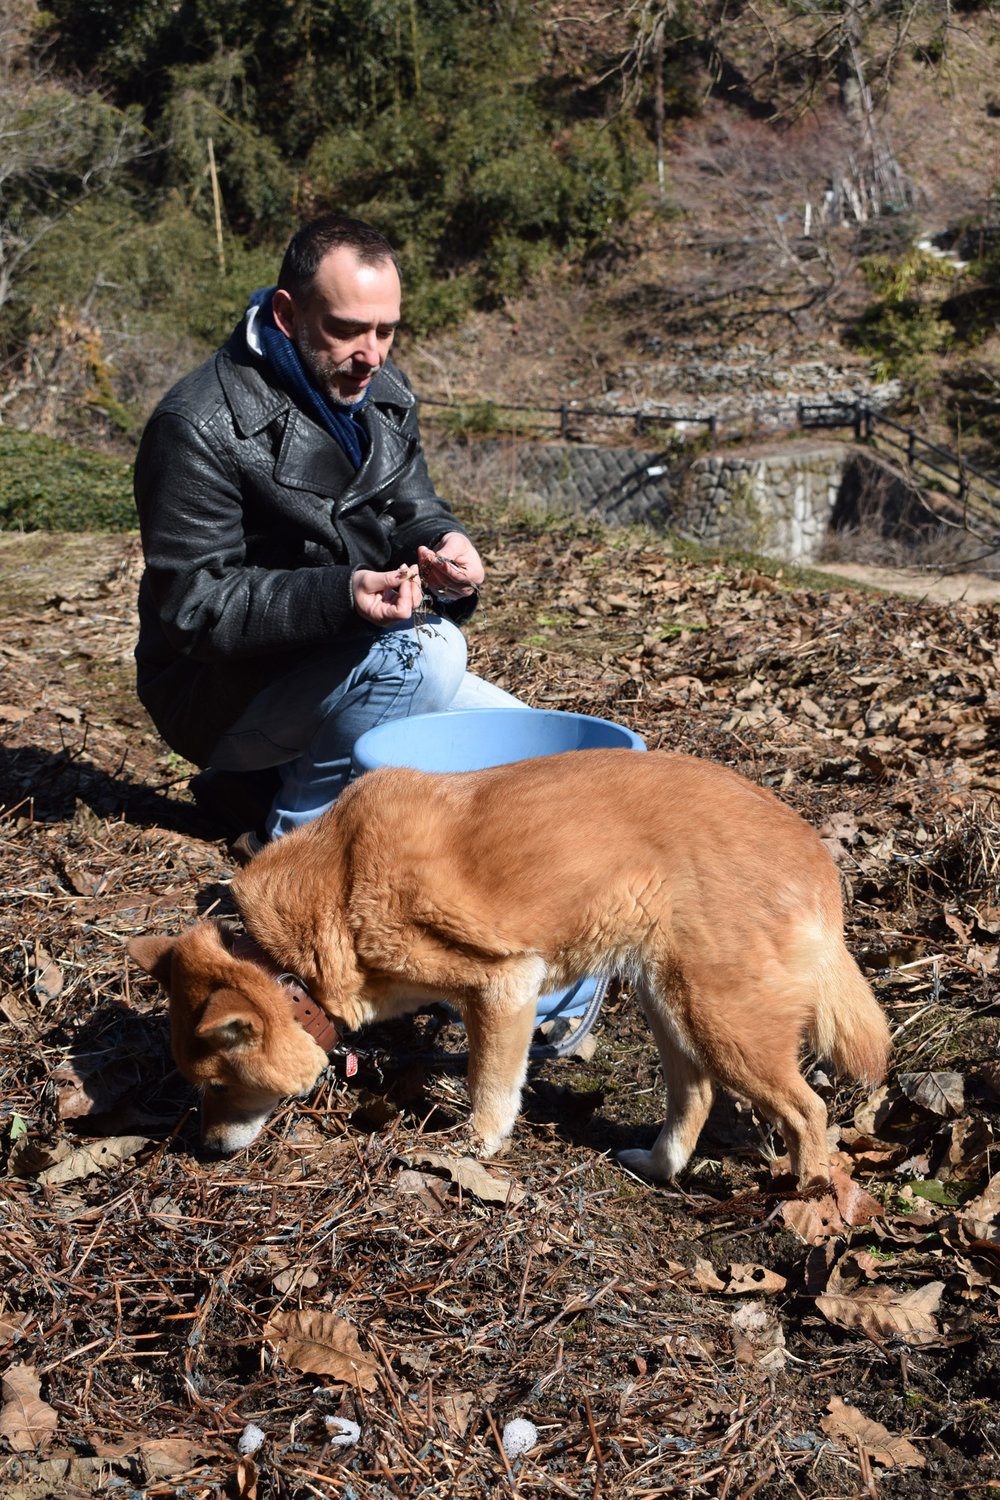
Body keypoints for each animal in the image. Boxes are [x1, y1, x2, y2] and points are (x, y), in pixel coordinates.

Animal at [127, 750, 893, 1182]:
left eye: (217, 1084)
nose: (205, 1149)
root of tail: (815, 855)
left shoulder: (504, 985)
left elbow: (487, 1087)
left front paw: (471, 1148)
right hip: (670, 1002)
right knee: (697, 1097)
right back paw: (658, 1166)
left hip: (723, 1018)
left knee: (808, 1110)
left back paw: (804, 1204)